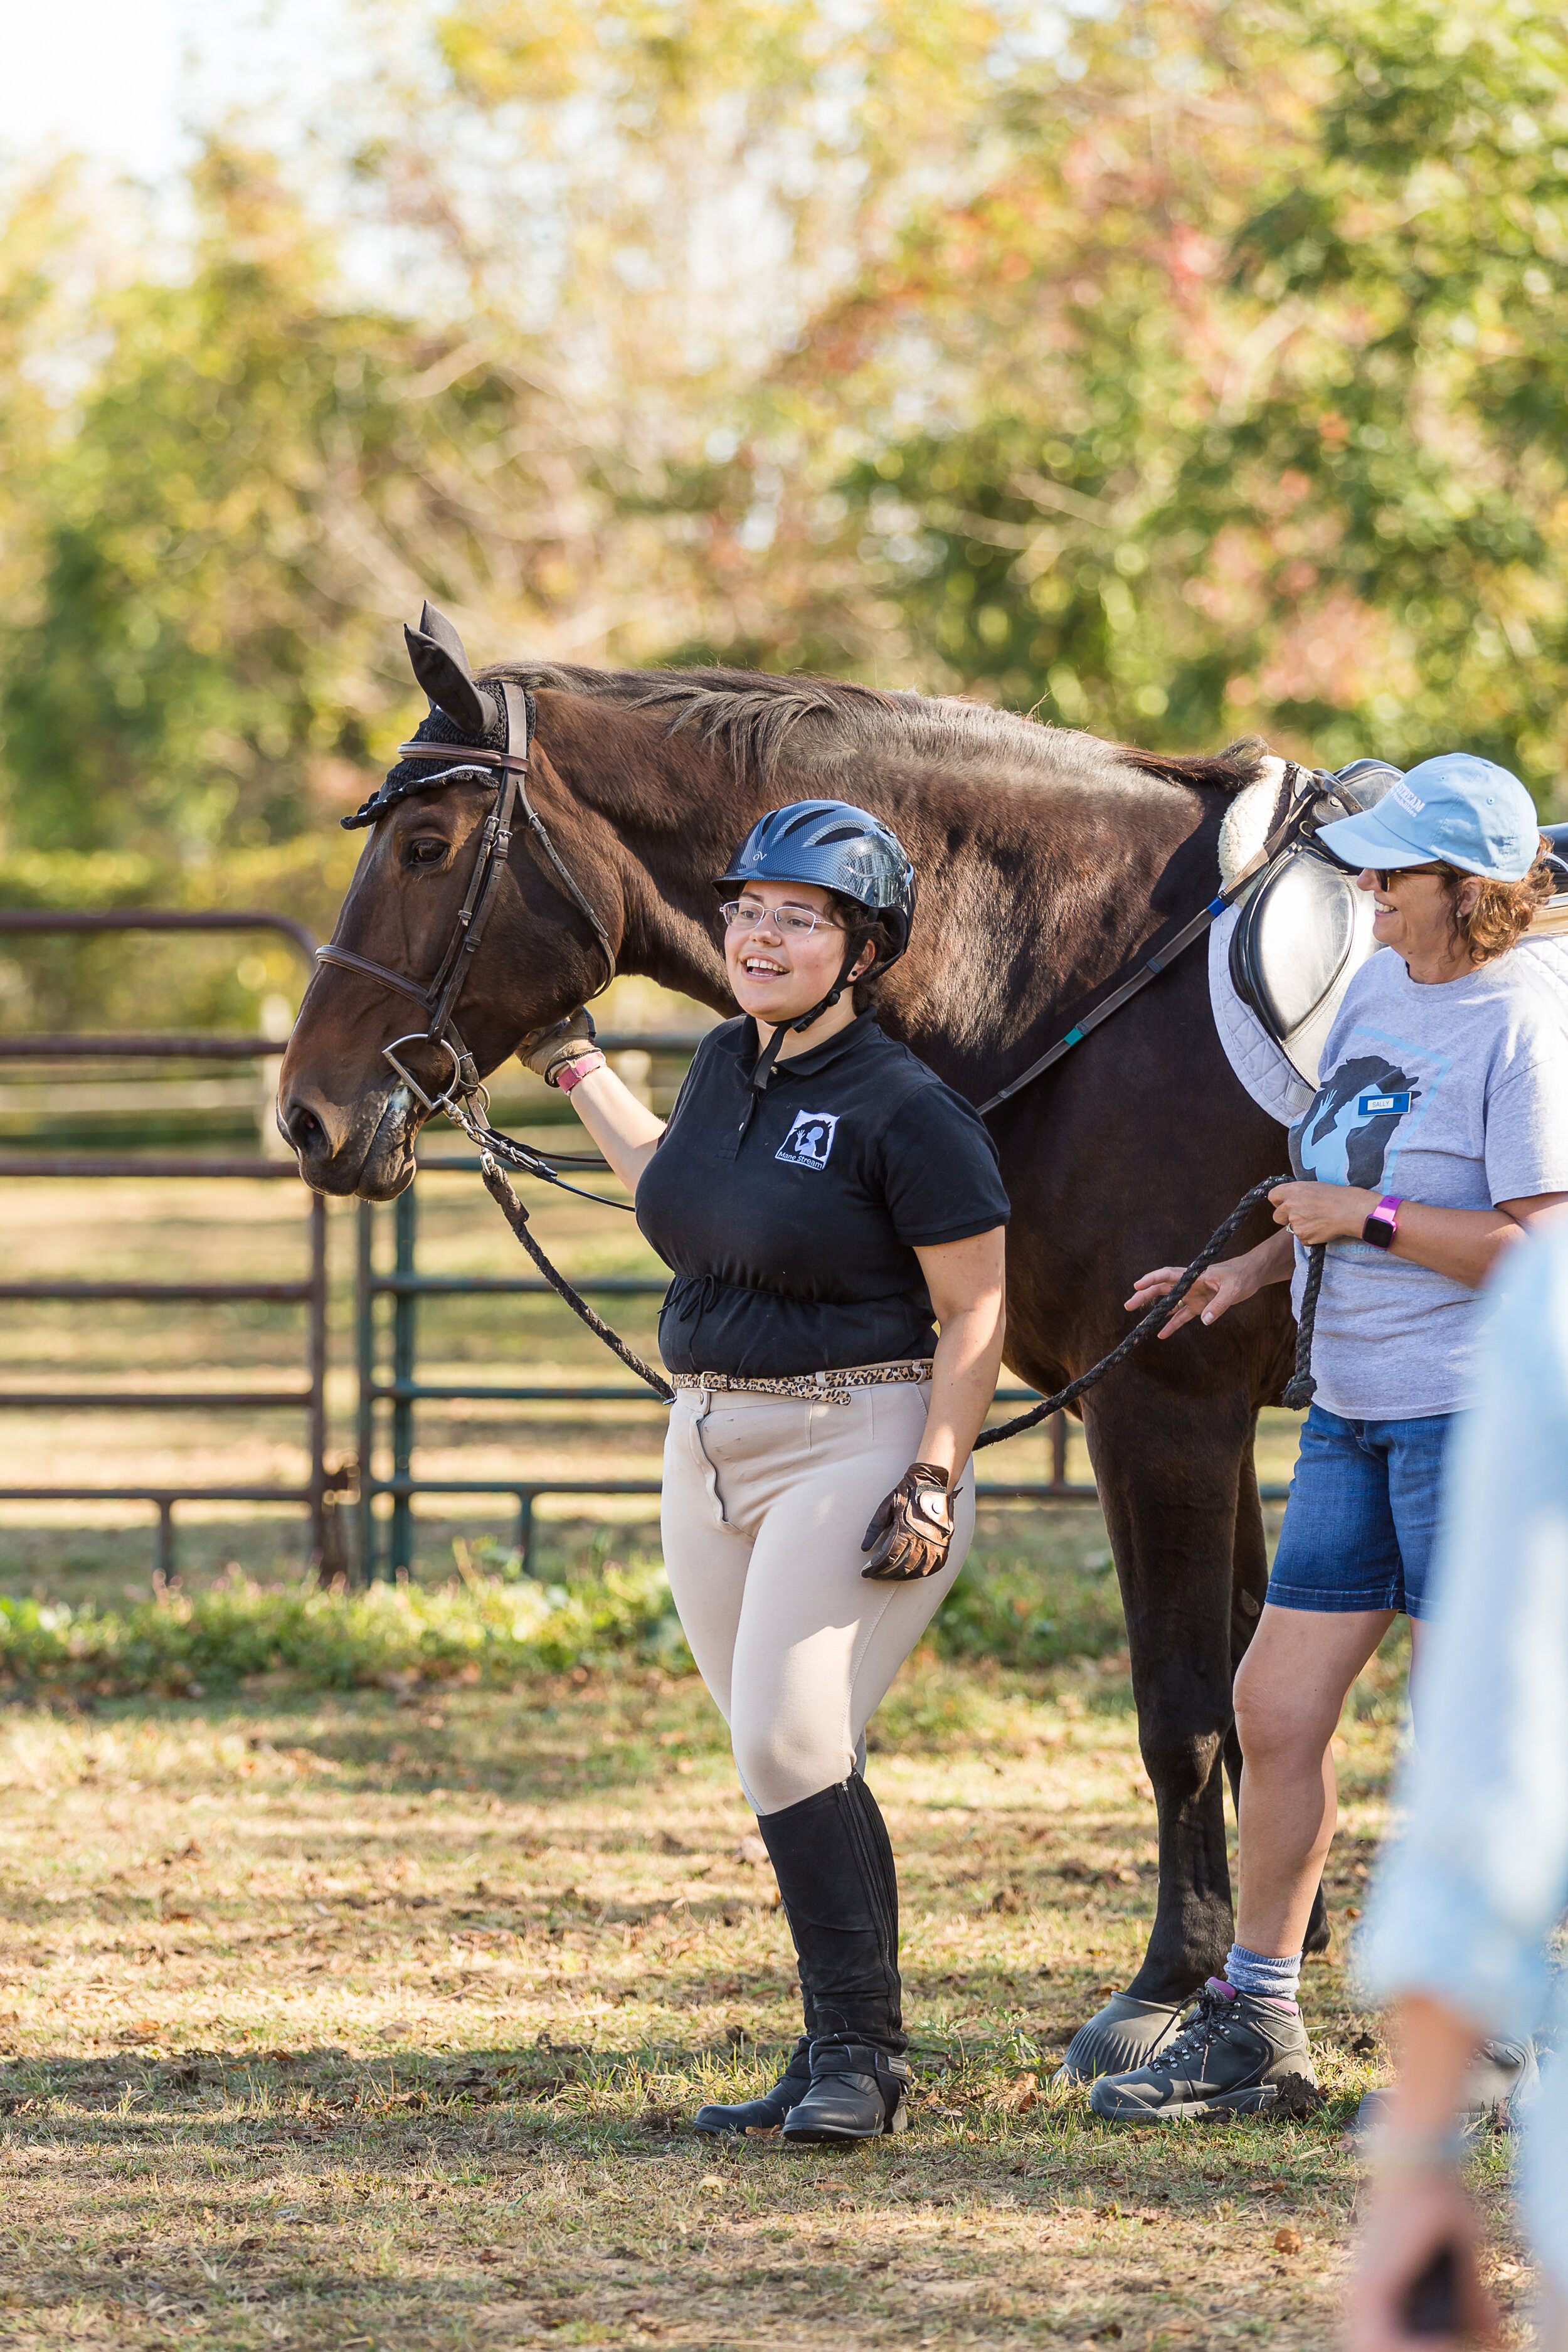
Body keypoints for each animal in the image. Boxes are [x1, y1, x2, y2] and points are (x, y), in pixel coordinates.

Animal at [282, 630, 1316, 2079]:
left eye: (428, 845)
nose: (306, 1118)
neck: (1095, 972)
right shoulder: (1196, 1415)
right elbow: (1245, 1680)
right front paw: (1260, 1966)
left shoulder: (1166, 1405)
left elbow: (1185, 1707)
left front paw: (1161, 1993)